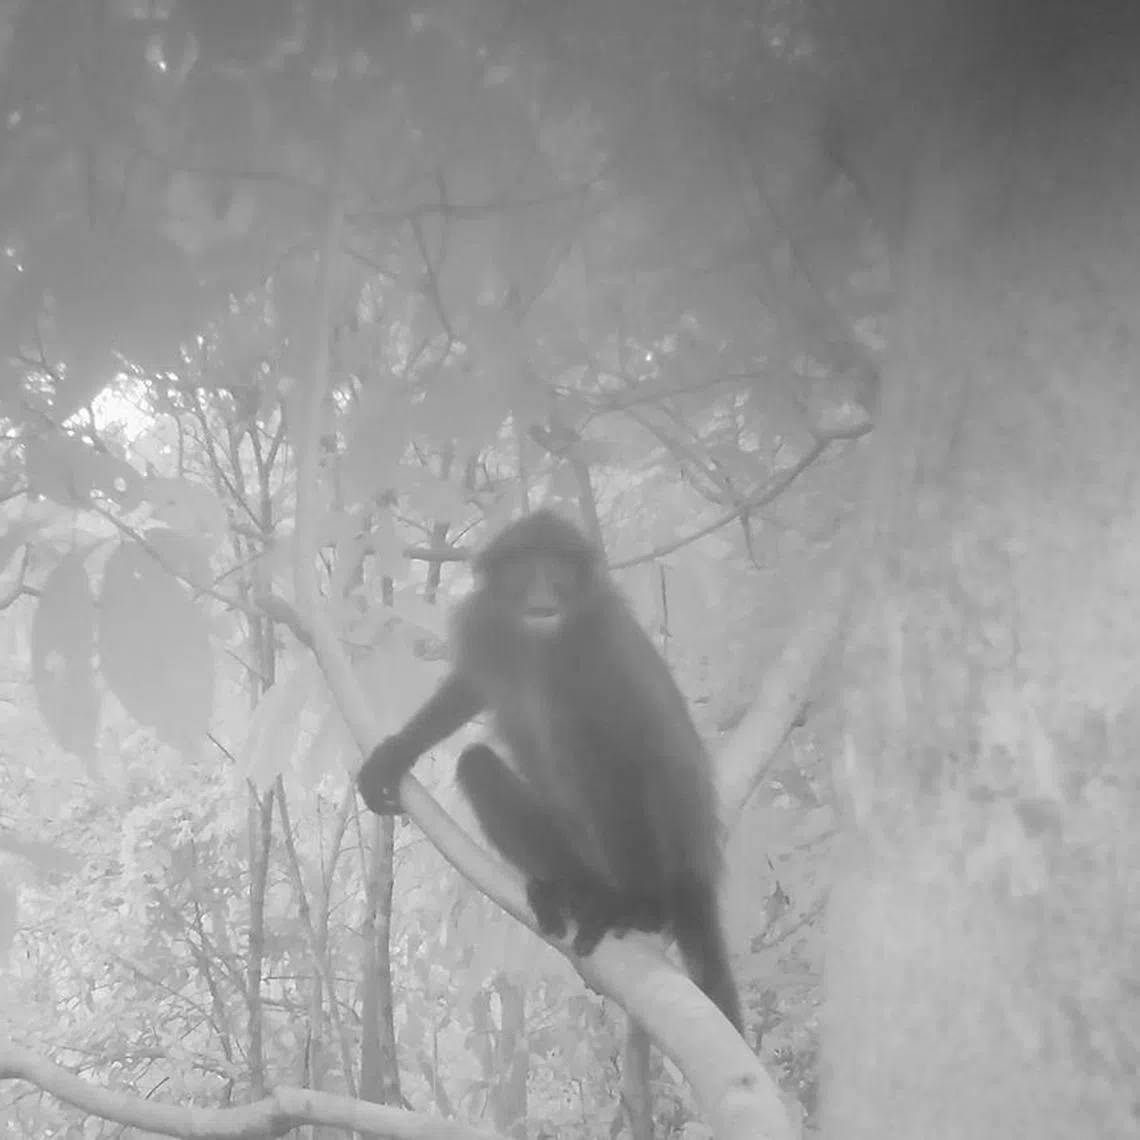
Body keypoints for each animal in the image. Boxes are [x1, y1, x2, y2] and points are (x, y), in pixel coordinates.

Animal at [357, 509, 743, 1032]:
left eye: (556, 568)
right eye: (525, 567)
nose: (542, 593)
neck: (543, 644)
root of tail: (696, 876)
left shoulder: (604, 648)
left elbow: (638, 755)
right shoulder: (490, 627)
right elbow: (470, 687)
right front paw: (396, 752)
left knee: (612, 771)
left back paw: (632, 907)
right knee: (477, 764)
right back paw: (565, 889)